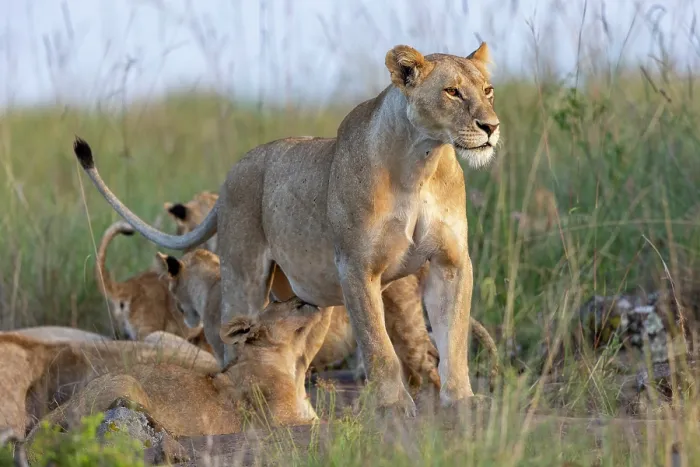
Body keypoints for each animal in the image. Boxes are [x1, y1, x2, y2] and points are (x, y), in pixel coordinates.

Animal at [73, 42, 501, 413]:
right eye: (452, 92)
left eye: (488, 90)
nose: (491, 127)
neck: (421, 162)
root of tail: (230, 176)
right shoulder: (356, 266)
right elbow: (378, 345)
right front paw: (394, 406)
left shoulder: (451, 263)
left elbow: (453, 338)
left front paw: (462, 400)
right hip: (244, 273)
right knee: (233, 341)